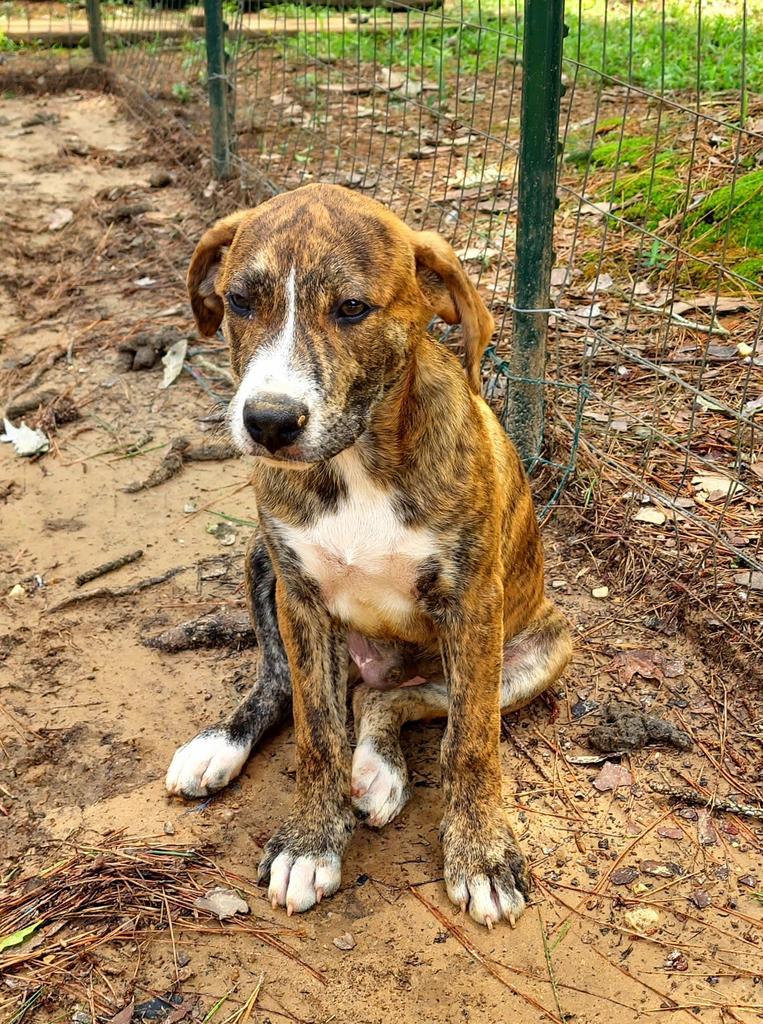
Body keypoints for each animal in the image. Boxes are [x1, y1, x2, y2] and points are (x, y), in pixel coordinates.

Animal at [167, 182, 573, 929]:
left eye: (352, 309)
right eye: (238, 301)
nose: (268, 422)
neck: (356, 462)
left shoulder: (473, 606)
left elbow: (472, 741)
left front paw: (482, 854)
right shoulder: (300, 600)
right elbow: (317, 732)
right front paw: (309, 842)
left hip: (540, 650)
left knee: (400, 700)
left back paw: (379, 767)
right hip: (260, 563)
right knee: (288, 685)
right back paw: (223, 746)